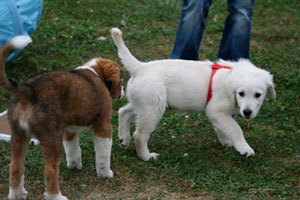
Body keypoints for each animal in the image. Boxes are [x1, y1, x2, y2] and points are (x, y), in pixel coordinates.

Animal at [0, 36, 123, 200]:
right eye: (121, 80)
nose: (123, 92)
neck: (94, 73)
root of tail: (30, 91)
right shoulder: (103, 124)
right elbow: (103, 153)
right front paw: (105, 173)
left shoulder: (69, 130)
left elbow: (72, 148)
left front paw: (74, 165)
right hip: (52, 138)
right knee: (50, 171)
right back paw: (56, 196)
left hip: (19, 135)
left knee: (15, 167)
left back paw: (17, 195)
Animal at [111, 27, 276, 161]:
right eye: (241, 93)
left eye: (258, 95)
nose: (247, 112)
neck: (230, 84)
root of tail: (141, 67)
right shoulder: (216, 111)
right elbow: (235, 129)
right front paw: (245, 148)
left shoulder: (222, 114)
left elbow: (225, 128)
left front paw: (227, 142)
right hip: (152, 108)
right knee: (139, 135)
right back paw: (146, 156)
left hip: (144, 103)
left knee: (123, 111)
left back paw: (123, 139)